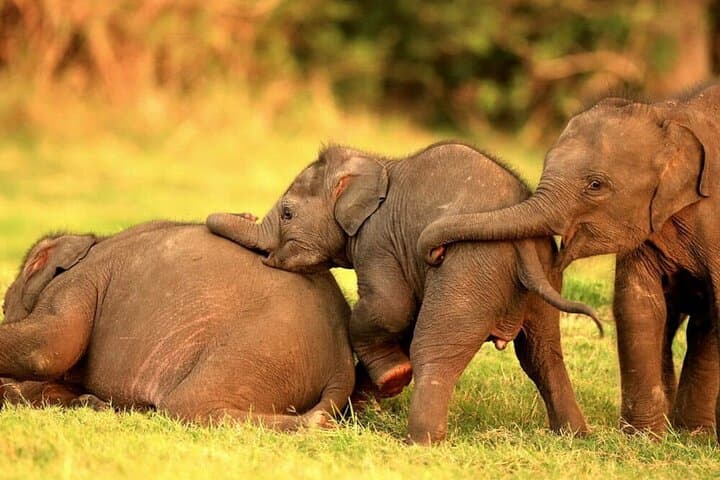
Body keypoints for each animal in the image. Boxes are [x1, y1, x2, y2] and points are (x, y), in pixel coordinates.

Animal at [0, 221, 354, 429]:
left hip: (265, 347)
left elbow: (48, 347)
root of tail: (342, 361)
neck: (91, 241)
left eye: (3, 305)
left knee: (186, 406)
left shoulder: (78, 281)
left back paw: (317, 425)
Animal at [207, 141, 600, 444]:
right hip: (544, 275)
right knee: (543, 354)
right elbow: (404, 316)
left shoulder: (378, 240)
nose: (247, 212)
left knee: (434, 348)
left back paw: (419, 442)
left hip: (470, 268)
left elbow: (390, 307)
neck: (377, 164)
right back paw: (574, 436)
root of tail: (521, 240)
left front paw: (393, 377)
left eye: (287, 214)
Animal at [418, 84, 720, 438]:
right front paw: (643, 438)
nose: (437, 254)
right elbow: (638, 305)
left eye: (595, 185)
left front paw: (689, 436)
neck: (672, 115)